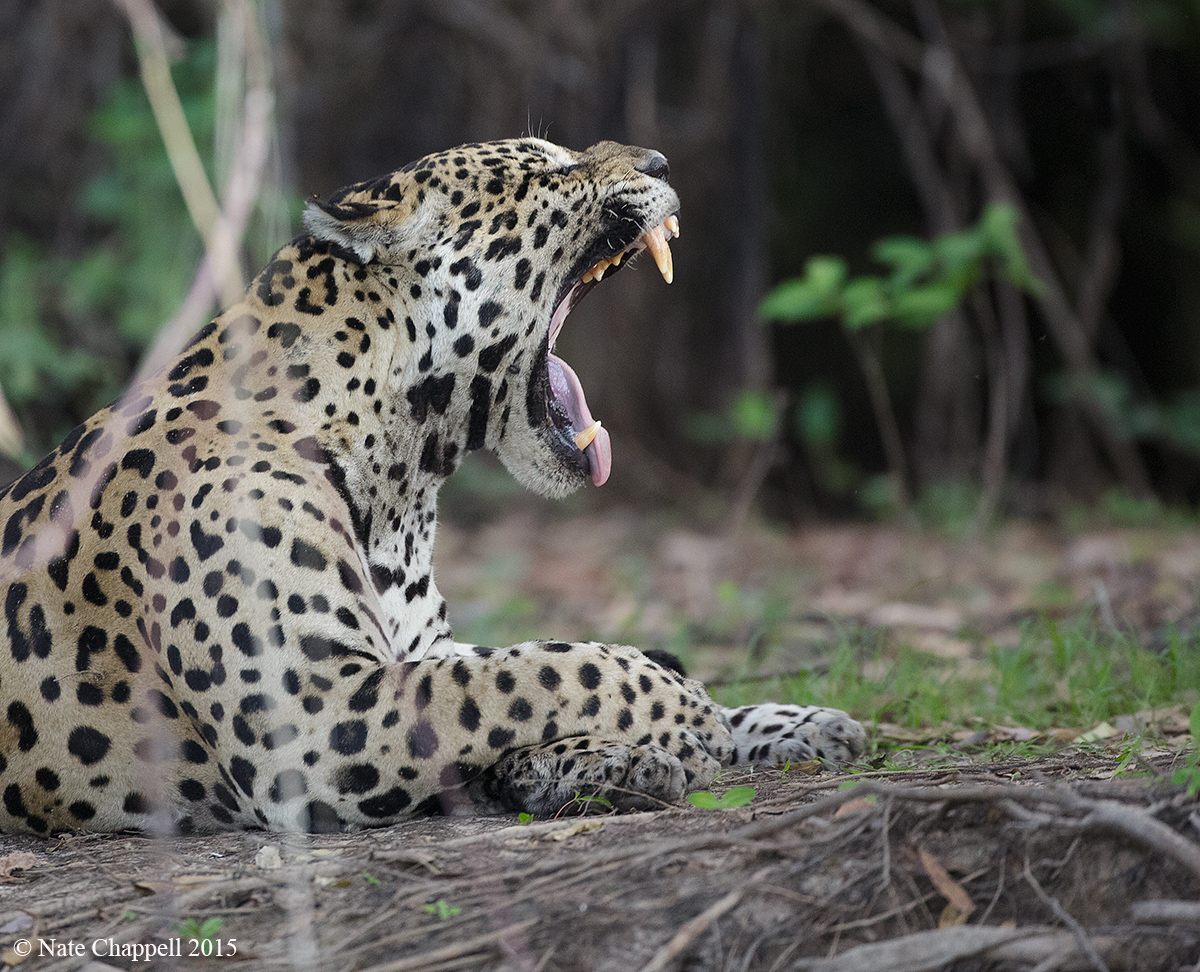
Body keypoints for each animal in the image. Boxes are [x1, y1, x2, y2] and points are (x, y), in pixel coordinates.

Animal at [0, 138, 864, 834]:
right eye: (546, 169)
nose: (660, 163)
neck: (400, 482)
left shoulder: (419, 651)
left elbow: (519, 674)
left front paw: (785, 723)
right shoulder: (319, 713)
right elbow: (540, 671)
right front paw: (682, 708)